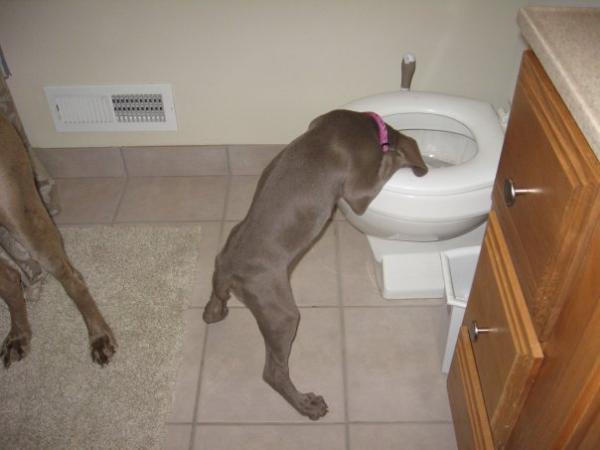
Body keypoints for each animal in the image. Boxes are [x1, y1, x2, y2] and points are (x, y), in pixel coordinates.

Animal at [203, 110, 428, 419]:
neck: (367, 125)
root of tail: (231, 267)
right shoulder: (357, 192)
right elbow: (387, 163)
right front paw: (396, 156)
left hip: (225, 256)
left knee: (216, 294)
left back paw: (214, 311)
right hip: (281, 314)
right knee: (273, 372)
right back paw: (308, 405)